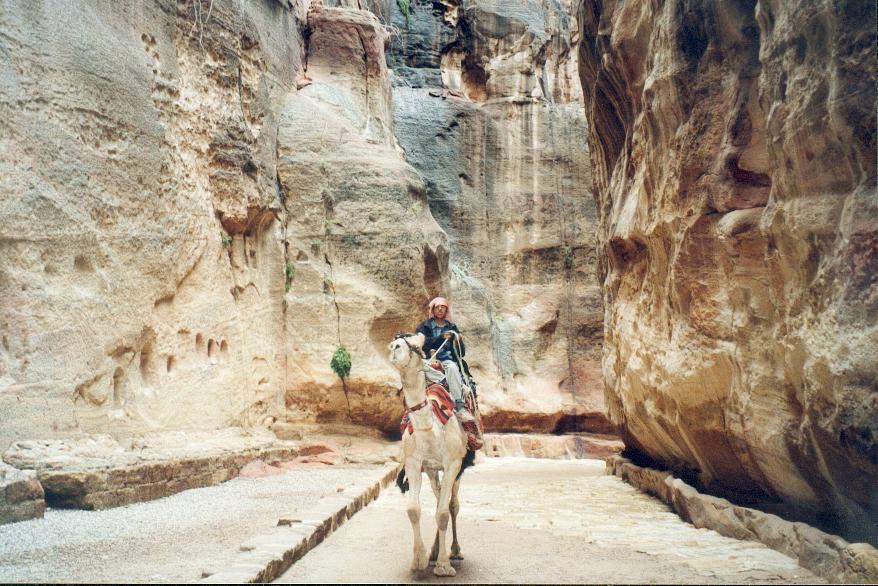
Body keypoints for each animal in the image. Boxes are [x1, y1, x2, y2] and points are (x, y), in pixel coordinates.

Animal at [388, 330, 470, 572]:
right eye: (394, 343)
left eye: (416, 344)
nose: (394, 347)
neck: (431, 431)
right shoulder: (415, 462)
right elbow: (414, 510)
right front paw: (419, 559)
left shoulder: (453, 463)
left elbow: (443, 513)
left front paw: (443, 566)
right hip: (433, 470)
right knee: (438, 499)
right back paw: (434, 551)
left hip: (459, 466)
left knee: (452, 504)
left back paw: (455, 551)